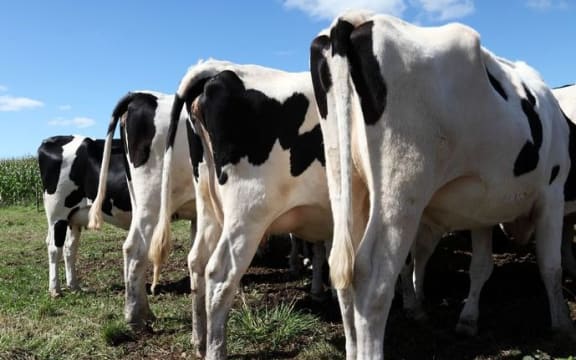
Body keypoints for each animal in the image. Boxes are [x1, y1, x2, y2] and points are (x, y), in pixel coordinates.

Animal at [38, 134, 132, 296]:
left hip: (74, 217)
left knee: (69, 248)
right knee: (54, 248)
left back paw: (74, 286)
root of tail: (51, 140)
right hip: (58, 214)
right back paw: (55, 290)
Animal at [148, 59, 332, 358]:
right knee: (219, 275)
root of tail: (218, 68)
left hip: (209, 205)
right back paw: (215, 349)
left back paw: (199, 340)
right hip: (248, 212)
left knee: (197, 261)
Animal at [312, 9, 572, 358]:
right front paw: (562, 324)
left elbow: (482, 266)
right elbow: (550, 266)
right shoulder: (553, 192)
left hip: (346, 182)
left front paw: (468, 321)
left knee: (345, 275)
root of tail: (355, 17)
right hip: (402, 186)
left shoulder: (482, 209)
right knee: (372, 277)